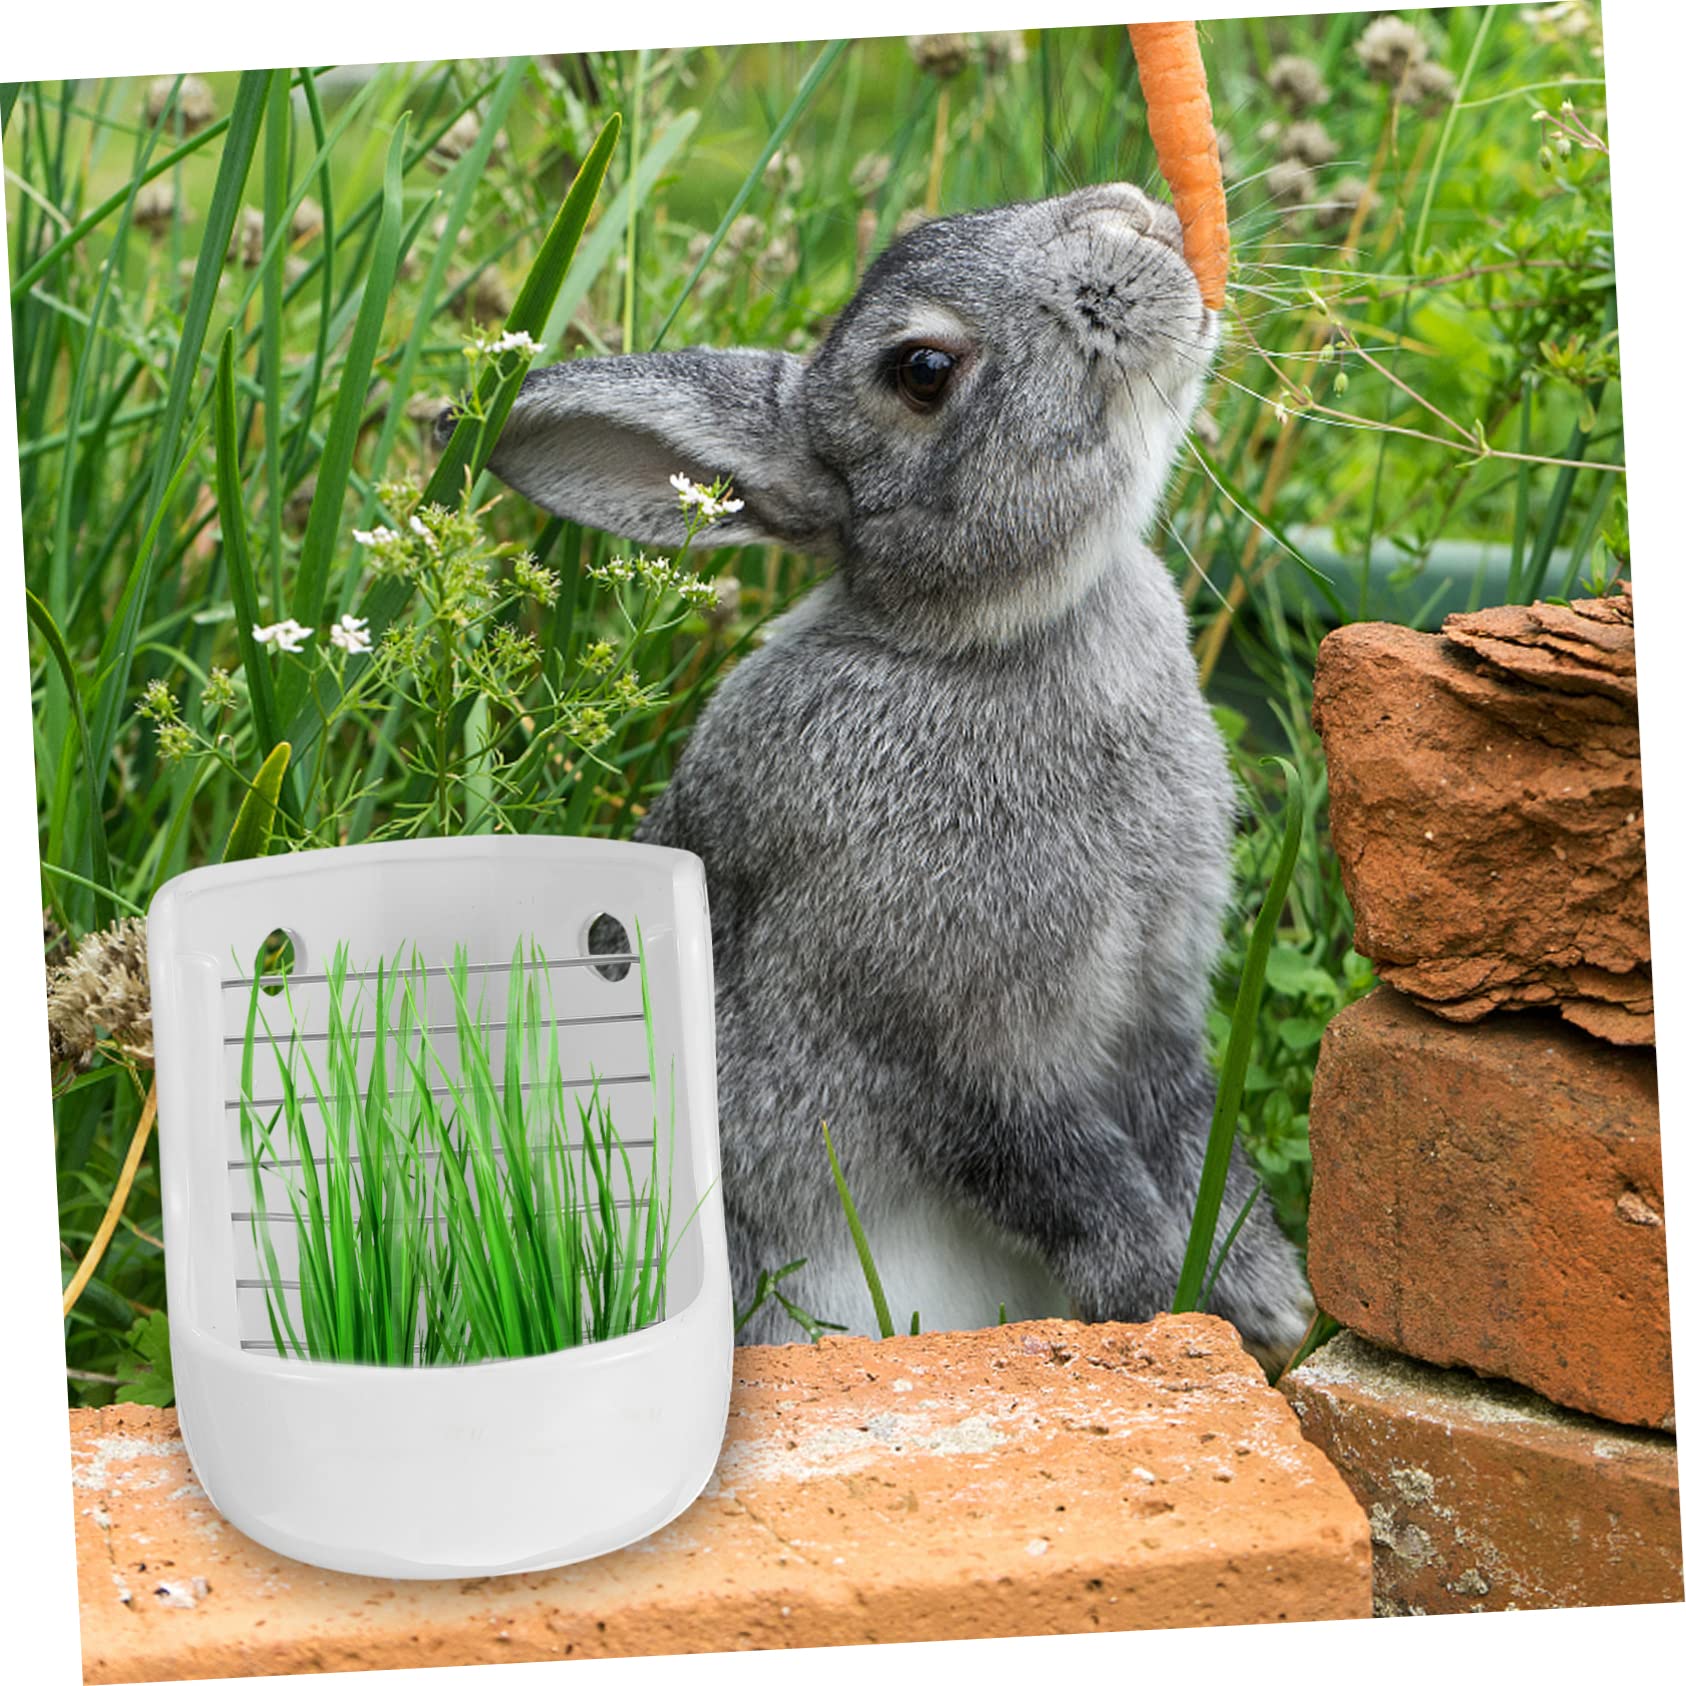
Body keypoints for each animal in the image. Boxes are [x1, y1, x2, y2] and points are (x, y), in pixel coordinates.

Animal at [464, 179, 1310, 1359]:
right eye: (921, 371)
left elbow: (1197, 1142)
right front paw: (1158, 1301)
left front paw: (1268, 1302)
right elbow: (1062, 1174)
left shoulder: (1157, 1011)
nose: (1134, 217)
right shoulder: (947, 1046)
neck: (979, 637)